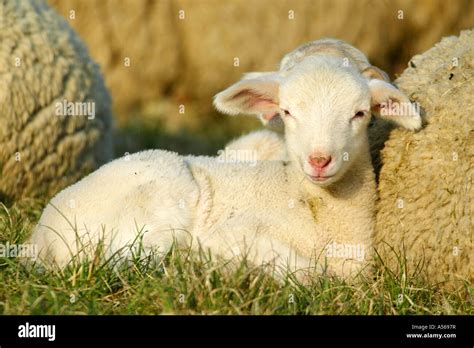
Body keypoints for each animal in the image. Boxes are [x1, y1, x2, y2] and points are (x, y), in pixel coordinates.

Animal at [29, 39, 420, 282]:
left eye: (359, 113)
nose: (319, 160)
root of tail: (40, 238)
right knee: (126, 262)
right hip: (158, 199)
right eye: (288, 112)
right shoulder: (238, 233)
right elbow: (309, 272)